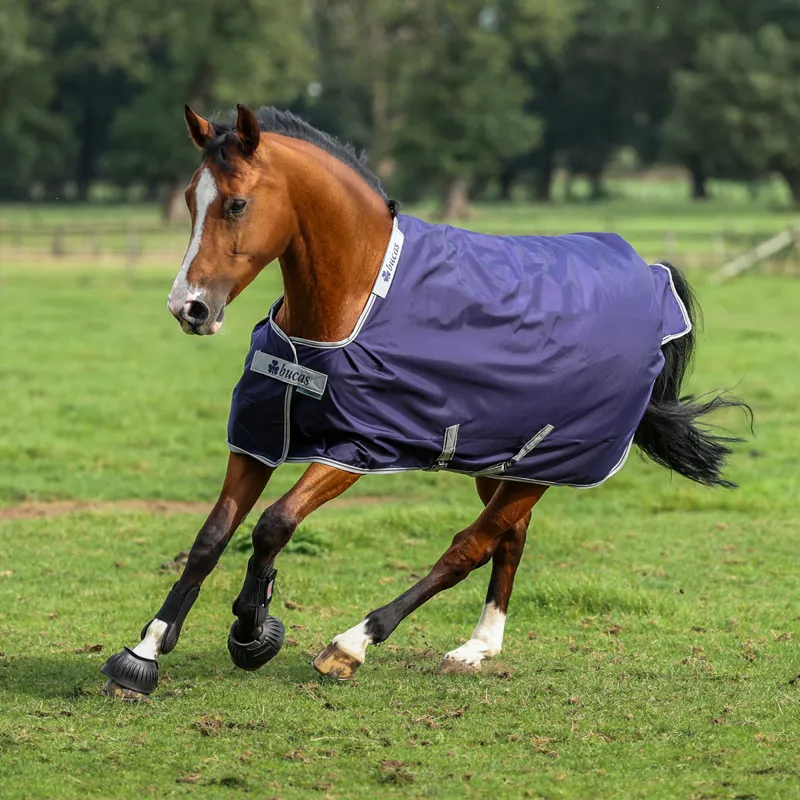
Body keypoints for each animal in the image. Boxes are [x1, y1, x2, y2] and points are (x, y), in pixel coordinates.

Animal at [100, 104, 750, 699]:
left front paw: (253, 631)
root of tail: (650, 274)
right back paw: (477, 647)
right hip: (502, 462)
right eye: (191, 199)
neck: (353, 301)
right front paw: (144, 653)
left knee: (470, 546)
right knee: (508, 539)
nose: (189, 308)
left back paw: (354, 643)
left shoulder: (355, 448)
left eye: (236, 204)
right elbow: (211, 537)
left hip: (551, 461)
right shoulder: (259, 437)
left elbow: (273, 525)